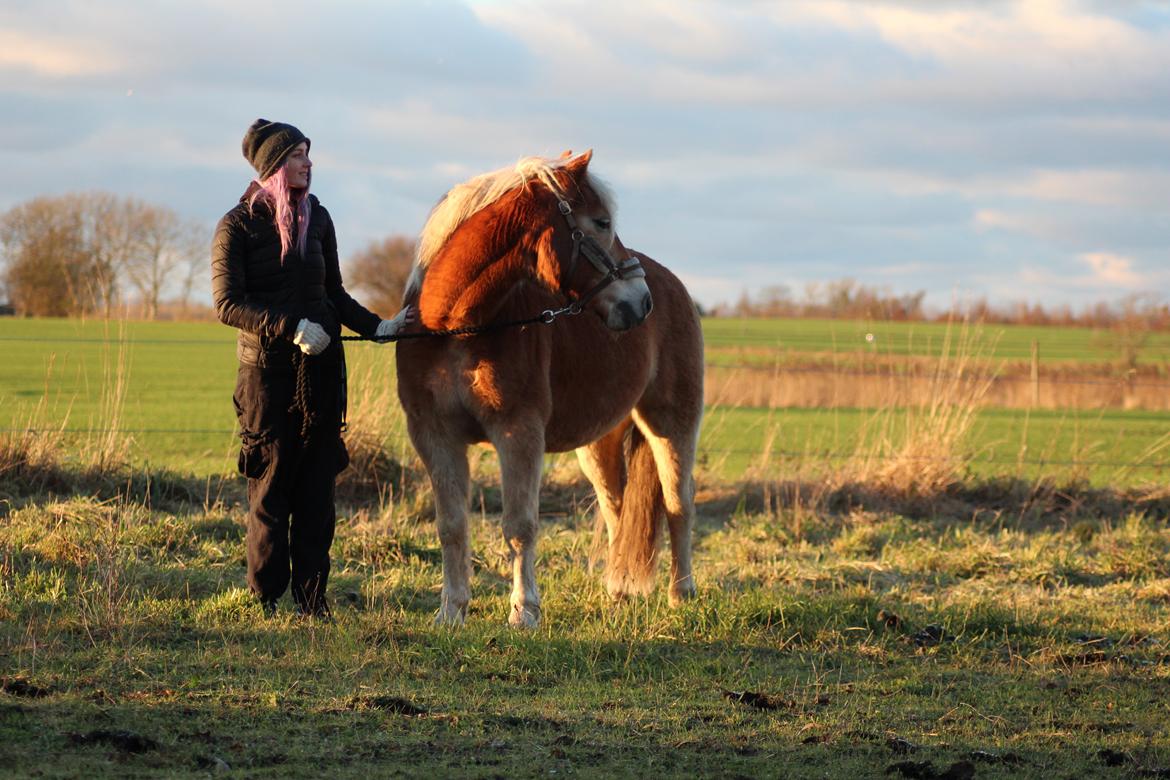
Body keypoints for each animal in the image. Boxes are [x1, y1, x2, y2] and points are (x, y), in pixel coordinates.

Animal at [393, 152, 702, 626]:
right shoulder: (433, 436)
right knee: (617, 508)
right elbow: (451, 526)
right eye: (601, 222)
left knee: (678, 504)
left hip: (671, 423)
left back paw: (681, 594)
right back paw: (619, 591)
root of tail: (672, 285)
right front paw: (451, 611)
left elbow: (519, 526)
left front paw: (524, 611)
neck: (452, 327)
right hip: (598, 443)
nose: (640, 301)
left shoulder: (518, 432)